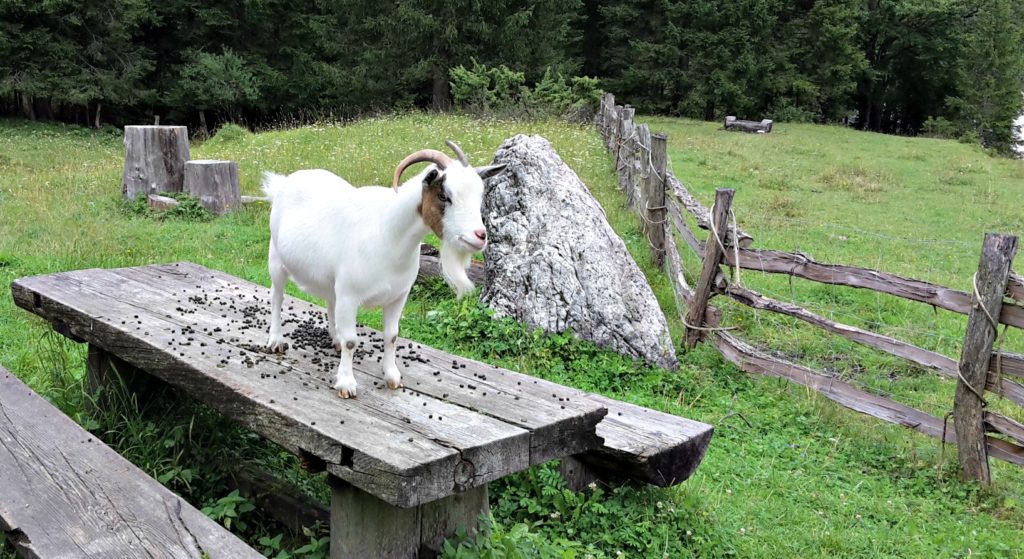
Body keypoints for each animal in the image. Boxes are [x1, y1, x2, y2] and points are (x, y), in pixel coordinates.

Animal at [262, 142, 505, 395]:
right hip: (276, 259)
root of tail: (283, 183)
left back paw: (334, 339)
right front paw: (346, 384)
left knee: (330, 303)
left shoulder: (398, 296)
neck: (386, 232)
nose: (479, 236)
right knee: (277, 298)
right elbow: (352, 340)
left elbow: (392, 336)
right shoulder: (350, 295)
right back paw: (276, 341)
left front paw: (392, 376)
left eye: (480, 197)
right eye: (444, 195)